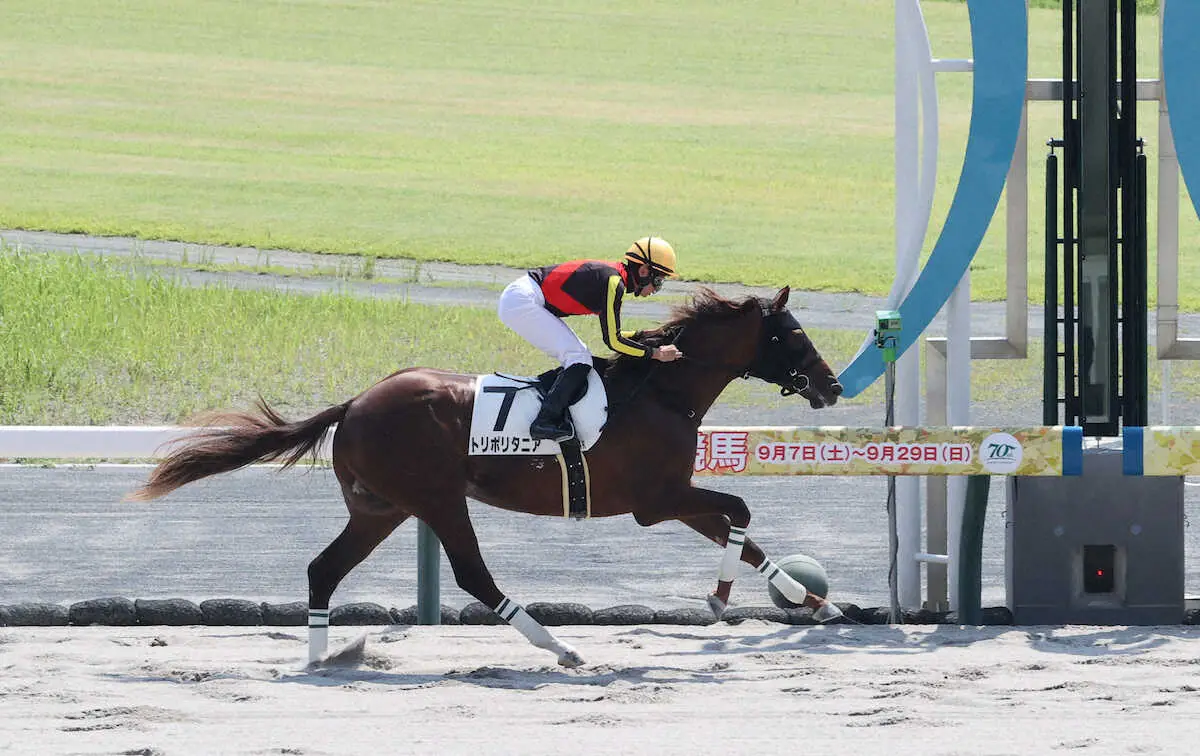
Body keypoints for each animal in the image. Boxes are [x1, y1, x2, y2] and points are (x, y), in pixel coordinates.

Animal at [129, 285, 844, 667]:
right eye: (793, 335)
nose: (833, 386)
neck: (662, 392)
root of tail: (355, 403)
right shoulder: (656, 498)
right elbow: (739, 512)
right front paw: (720, 600)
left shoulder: (670, 496)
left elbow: (743, 533)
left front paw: (819, 602)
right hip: (438, 498)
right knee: (473, 576)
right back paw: (559, 648)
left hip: (382, 508)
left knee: (323, 569)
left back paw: (318, 659)